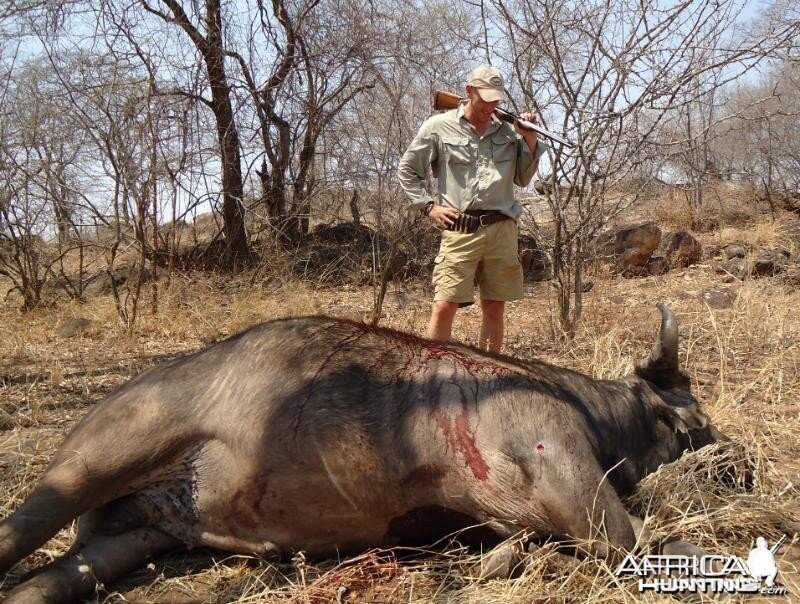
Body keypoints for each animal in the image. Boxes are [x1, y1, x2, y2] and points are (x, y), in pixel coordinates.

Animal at [0, 304, 712, 600]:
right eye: (689, 421)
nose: (725, 449)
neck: (590, 409)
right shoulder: (569, 471)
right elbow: (643, 541)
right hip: (89, 465)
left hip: (128, 540)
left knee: (50, 581)